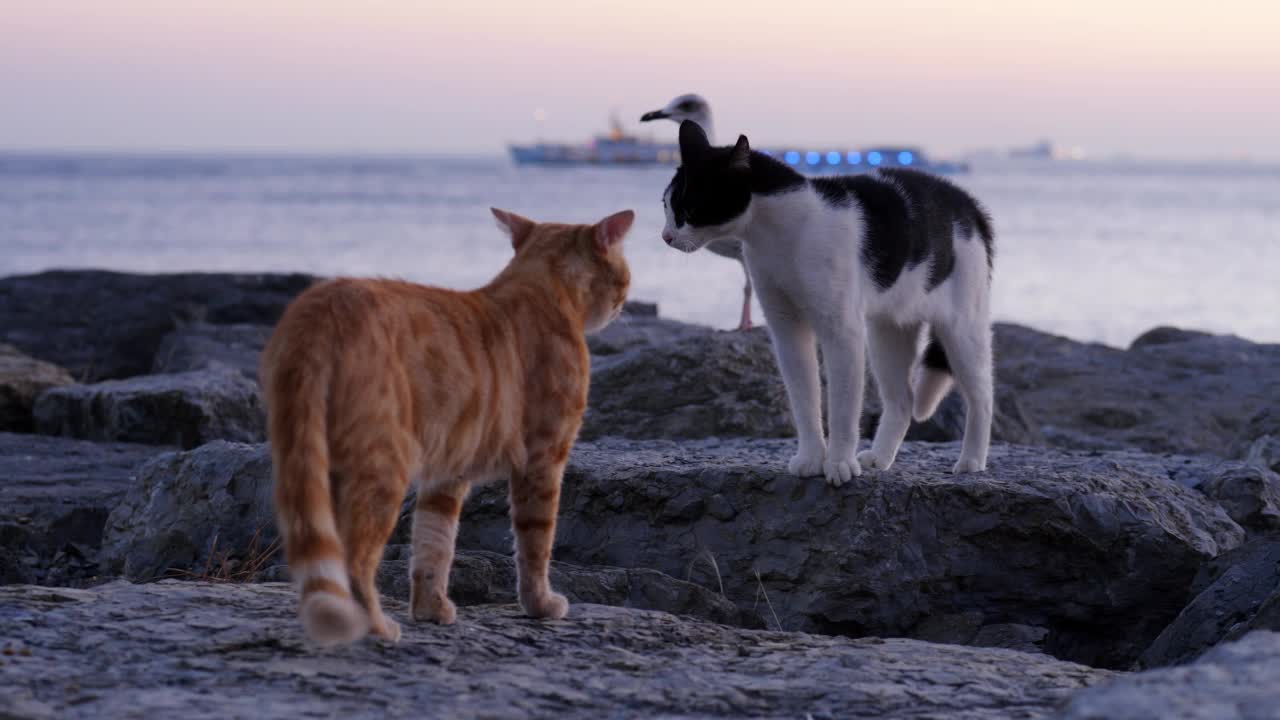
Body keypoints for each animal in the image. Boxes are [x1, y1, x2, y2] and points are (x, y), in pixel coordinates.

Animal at [261, 207, 634, 645]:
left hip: (313, 452)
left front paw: (430, 608)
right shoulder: (543, 461)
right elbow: (536, 543)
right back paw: (376, 625)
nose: (623, 302)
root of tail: (324, 304)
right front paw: (540, 604)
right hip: (384, 460)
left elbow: (434, 543)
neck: (542, 289)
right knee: (355, 558)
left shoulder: (447, 471)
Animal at [665, 121, 993, 481]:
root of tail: (966, 201)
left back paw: (972, 460)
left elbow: (842, 407)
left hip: (961, 329)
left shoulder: (841, 331)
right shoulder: (787, 330)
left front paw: (839, 464)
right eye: (665, 206)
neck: (780, 236)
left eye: (689, 209)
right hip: (887, 334)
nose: (667, 236)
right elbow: (805, 401)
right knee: (902, 400)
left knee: (982, 395)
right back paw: (880, 457)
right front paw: (811, 458)